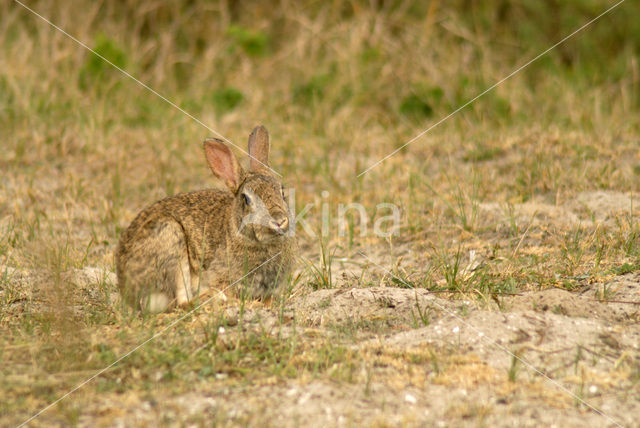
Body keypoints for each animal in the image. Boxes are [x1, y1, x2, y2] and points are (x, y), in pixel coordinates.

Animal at [116, 125, 294, 312]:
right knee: (180, 303)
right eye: (246, 199)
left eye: (282, 191)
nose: (279, 221)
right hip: (170, 240)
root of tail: (125, 286)